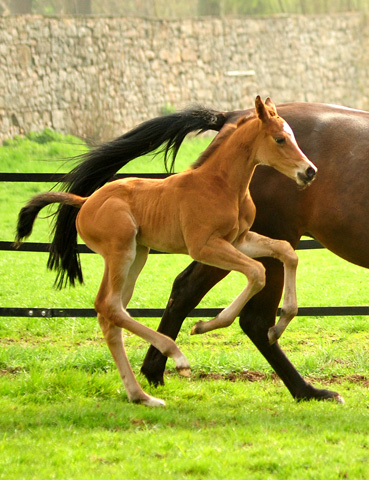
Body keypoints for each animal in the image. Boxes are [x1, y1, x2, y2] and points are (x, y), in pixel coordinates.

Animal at [16, 96, 316, 404]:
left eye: (293, 136)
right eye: (280, 139)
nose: (309, 172)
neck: (221, 184)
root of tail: (85, 201)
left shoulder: (239, 240)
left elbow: (286, 252)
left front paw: (278, 324)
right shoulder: (204, 247)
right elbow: (257, 272)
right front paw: (204, 325)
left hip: (138, 255)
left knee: (111, 314)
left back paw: (141, 396)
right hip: (120, 251)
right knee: (108, 305)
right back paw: (176, 357)